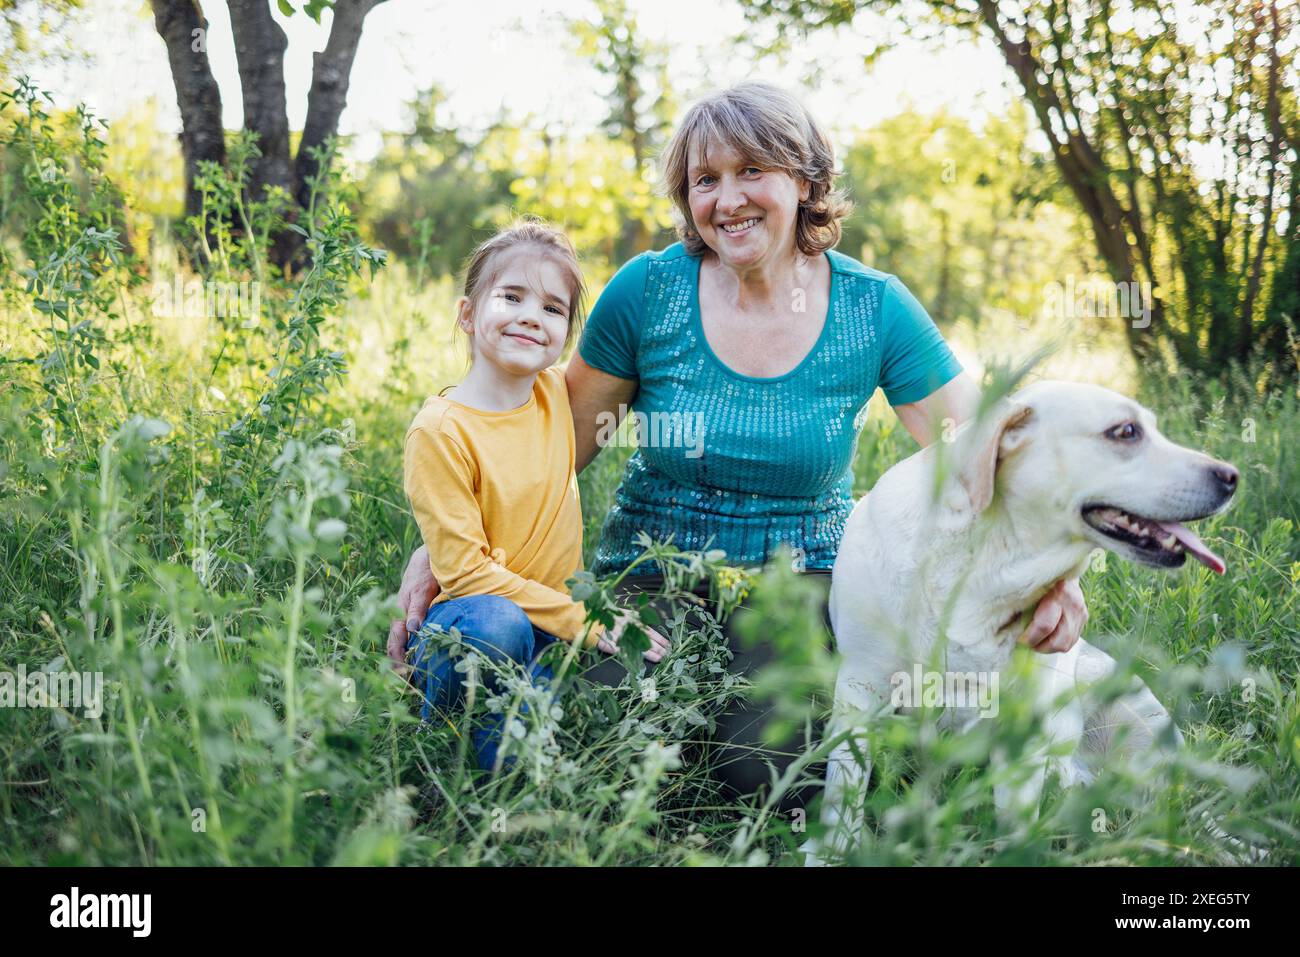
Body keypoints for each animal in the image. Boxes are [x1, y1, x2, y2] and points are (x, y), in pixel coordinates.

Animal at [811, 382, 1237, 868]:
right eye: (1126, 431)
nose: (1231, 476)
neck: (987, 564)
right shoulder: (858, 689)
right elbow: (843, 790)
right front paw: (829, 852)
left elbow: (1014, 823)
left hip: (1145, 738)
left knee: (1189, 815)